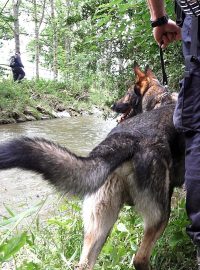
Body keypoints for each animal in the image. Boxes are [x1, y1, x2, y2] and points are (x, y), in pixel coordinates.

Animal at [0, 64, 184, 268]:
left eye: (127, 93)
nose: (113, 105)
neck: (161, 98)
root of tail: (124, 139)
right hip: (159, 216)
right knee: (140, 257)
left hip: (99, 225)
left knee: (85, 262)